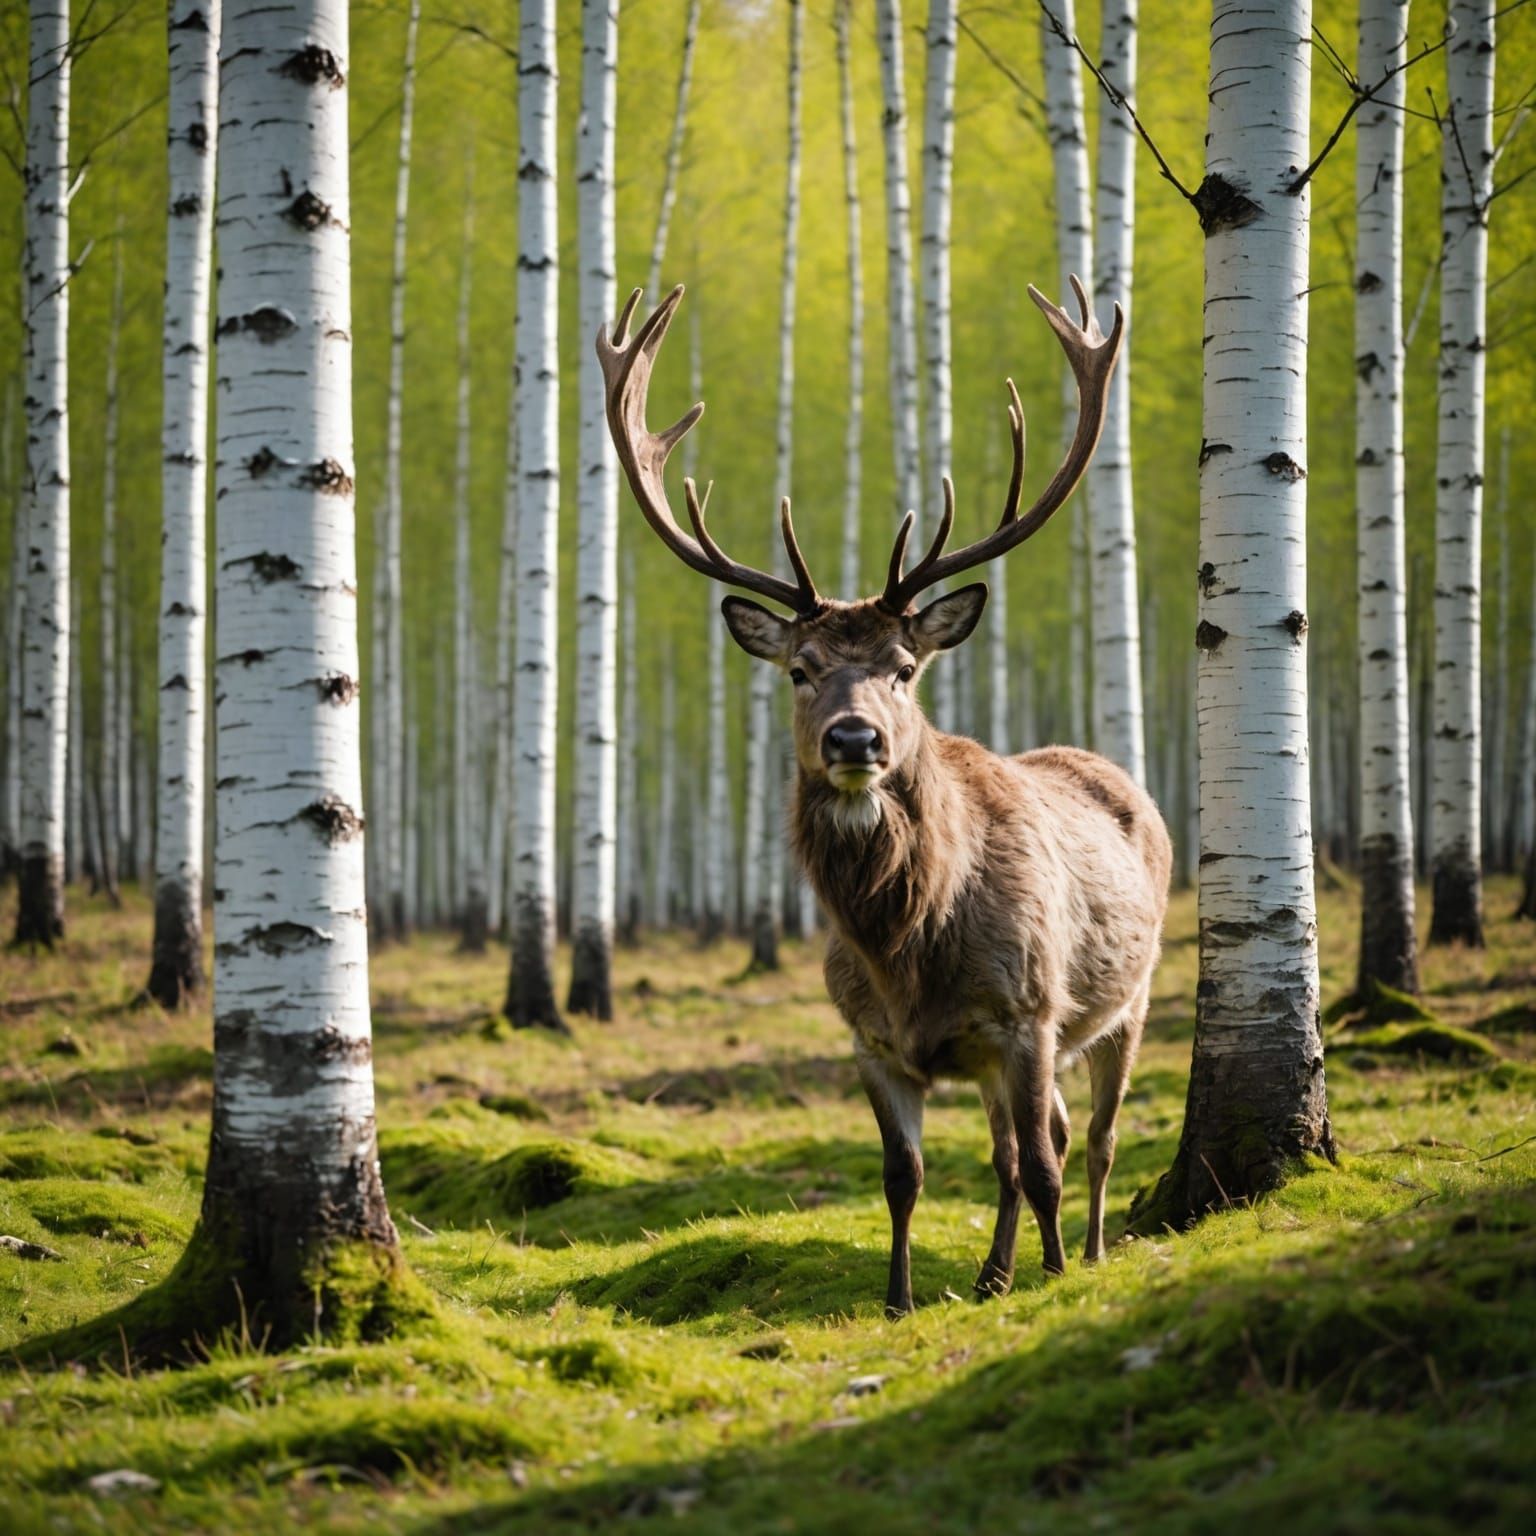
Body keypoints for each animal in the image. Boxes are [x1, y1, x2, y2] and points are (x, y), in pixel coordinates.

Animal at [597, 279, 1171, 1317]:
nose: (854, 739)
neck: (908, 944)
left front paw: (1054, 1279)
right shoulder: (870, 1037)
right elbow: (905, 1176)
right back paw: (989, 1273)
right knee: (1022, 1145)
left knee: (1092, 1141)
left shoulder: (1028, 1011)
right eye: (799, 669)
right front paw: (902, 1298)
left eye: (904, 668)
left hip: (1129, 997)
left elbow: (1046, 1166)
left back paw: (1087, 1252)